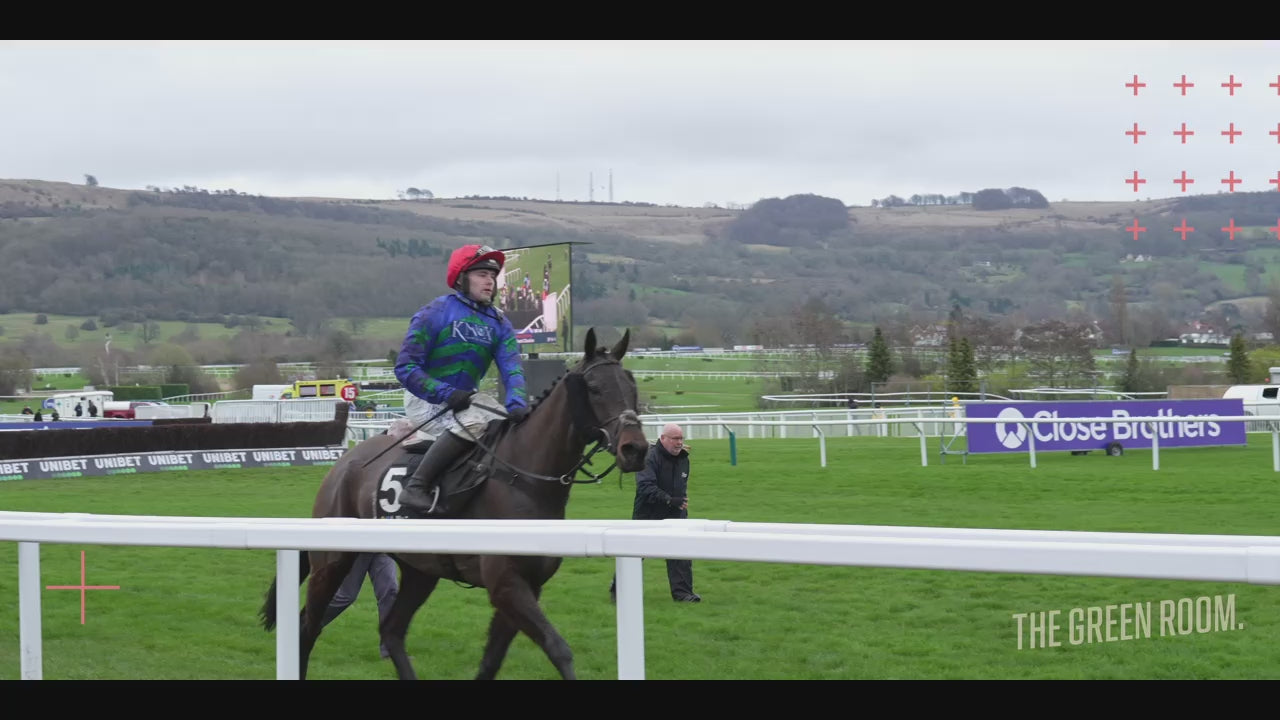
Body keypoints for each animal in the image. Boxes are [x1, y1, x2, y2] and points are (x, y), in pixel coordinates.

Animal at [257, 327, 650, 676]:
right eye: (595, 388)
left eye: (632, 385)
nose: (636, 449)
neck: (524, 478)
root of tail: (341, 465)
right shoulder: (506, 585)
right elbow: (559, 649)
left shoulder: (527, 586)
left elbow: (491, 660)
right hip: (333, 561)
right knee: (308, 626)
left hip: (420, 571)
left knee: (392, 631)